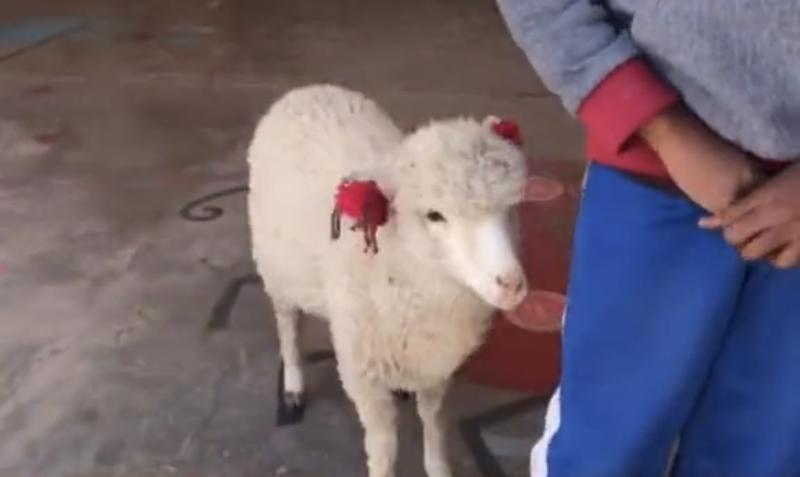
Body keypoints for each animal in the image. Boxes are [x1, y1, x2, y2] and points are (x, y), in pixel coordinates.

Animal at [247, 84, 529, 477]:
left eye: (511, 208)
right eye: (434, 215)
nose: (512, 284)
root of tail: (306, 91)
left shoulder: (435, 365)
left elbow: (435, 422)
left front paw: (438, 466)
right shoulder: (363, 375)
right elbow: (383, 447)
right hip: (277, 269)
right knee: (288, 327)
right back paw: (293, 386)